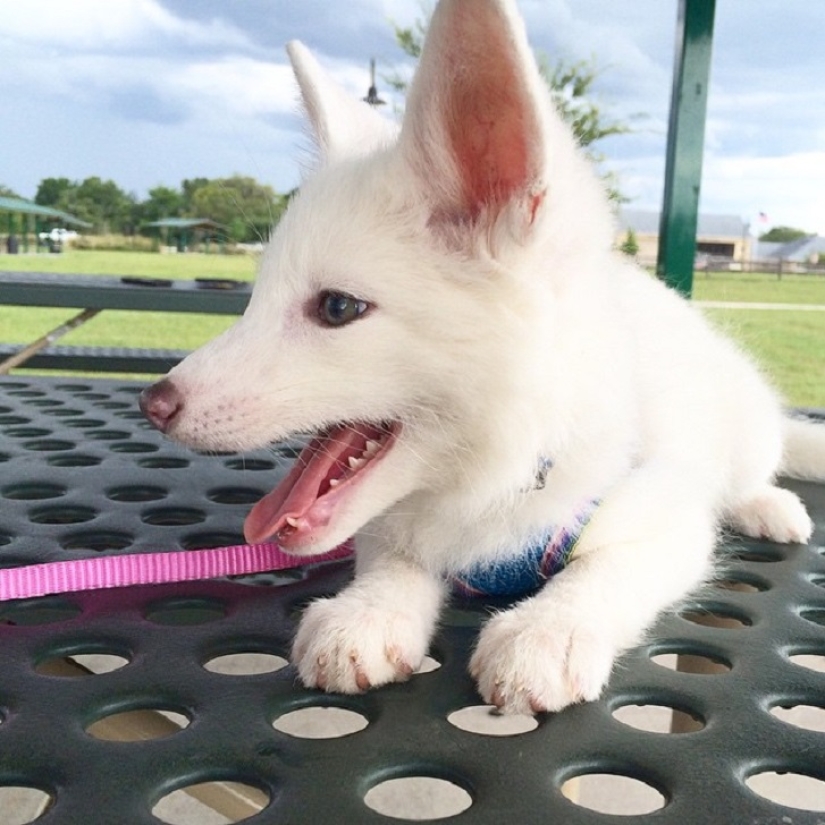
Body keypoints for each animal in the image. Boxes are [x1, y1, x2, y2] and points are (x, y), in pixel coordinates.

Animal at [140, 0, 825, 715]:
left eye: (337, 308)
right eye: (255, 298)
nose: (153, 403)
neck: (503, 468)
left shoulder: (667, 523)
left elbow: (608, 570)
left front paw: (551, 629)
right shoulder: (394, 522)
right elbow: (395, 554)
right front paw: (369, 611)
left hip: (742, 427)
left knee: (753, 469)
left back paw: (767, 505)